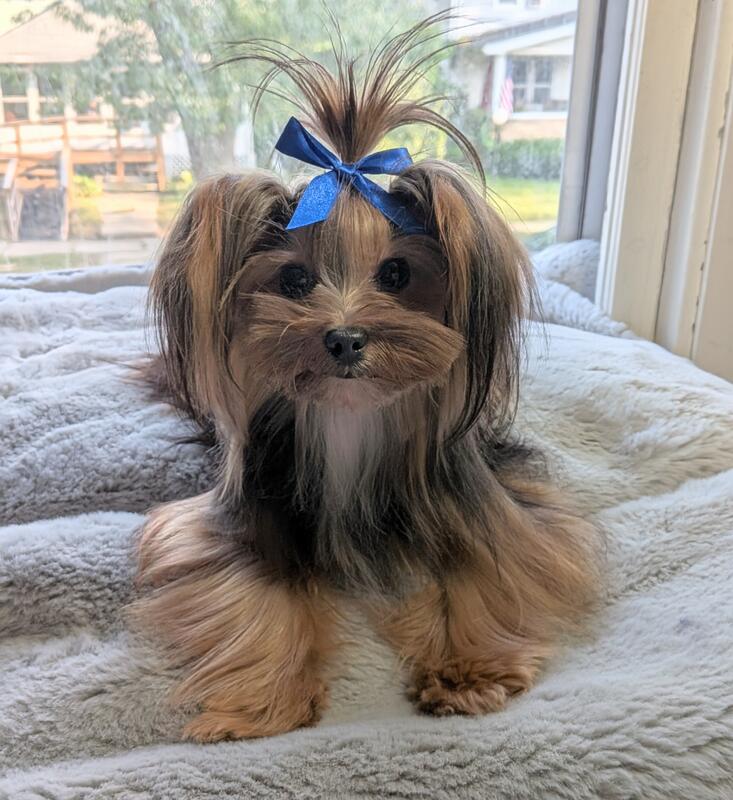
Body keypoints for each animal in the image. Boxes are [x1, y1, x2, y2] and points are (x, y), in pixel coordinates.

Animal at [135, 16, 600, 742]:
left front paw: (468, 671)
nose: (346, 338)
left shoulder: (487, 507)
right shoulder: (246, 520)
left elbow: (485, 566)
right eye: (294, 280)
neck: (349, 413)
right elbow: (261, 587)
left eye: (397, 274)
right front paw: (262, 699)